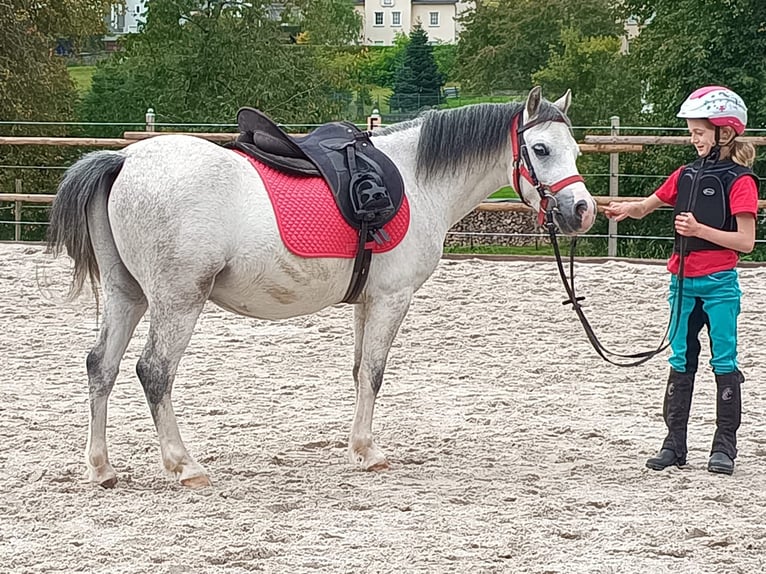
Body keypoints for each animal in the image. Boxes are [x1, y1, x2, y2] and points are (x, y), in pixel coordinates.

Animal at [47, 87, 597, 488]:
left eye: (574, 150)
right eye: (540, 149)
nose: (582, 211)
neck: (417, 179)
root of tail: (123, 162)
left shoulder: (368, 301)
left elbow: (358, 372)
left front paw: (357, 446)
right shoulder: (392, 299)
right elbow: (374, 372)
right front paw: (368, 452)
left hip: (128, 296)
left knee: (102, 366)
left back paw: (102, 468)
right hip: (178, 300)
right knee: (154, 371)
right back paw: (185, 466)